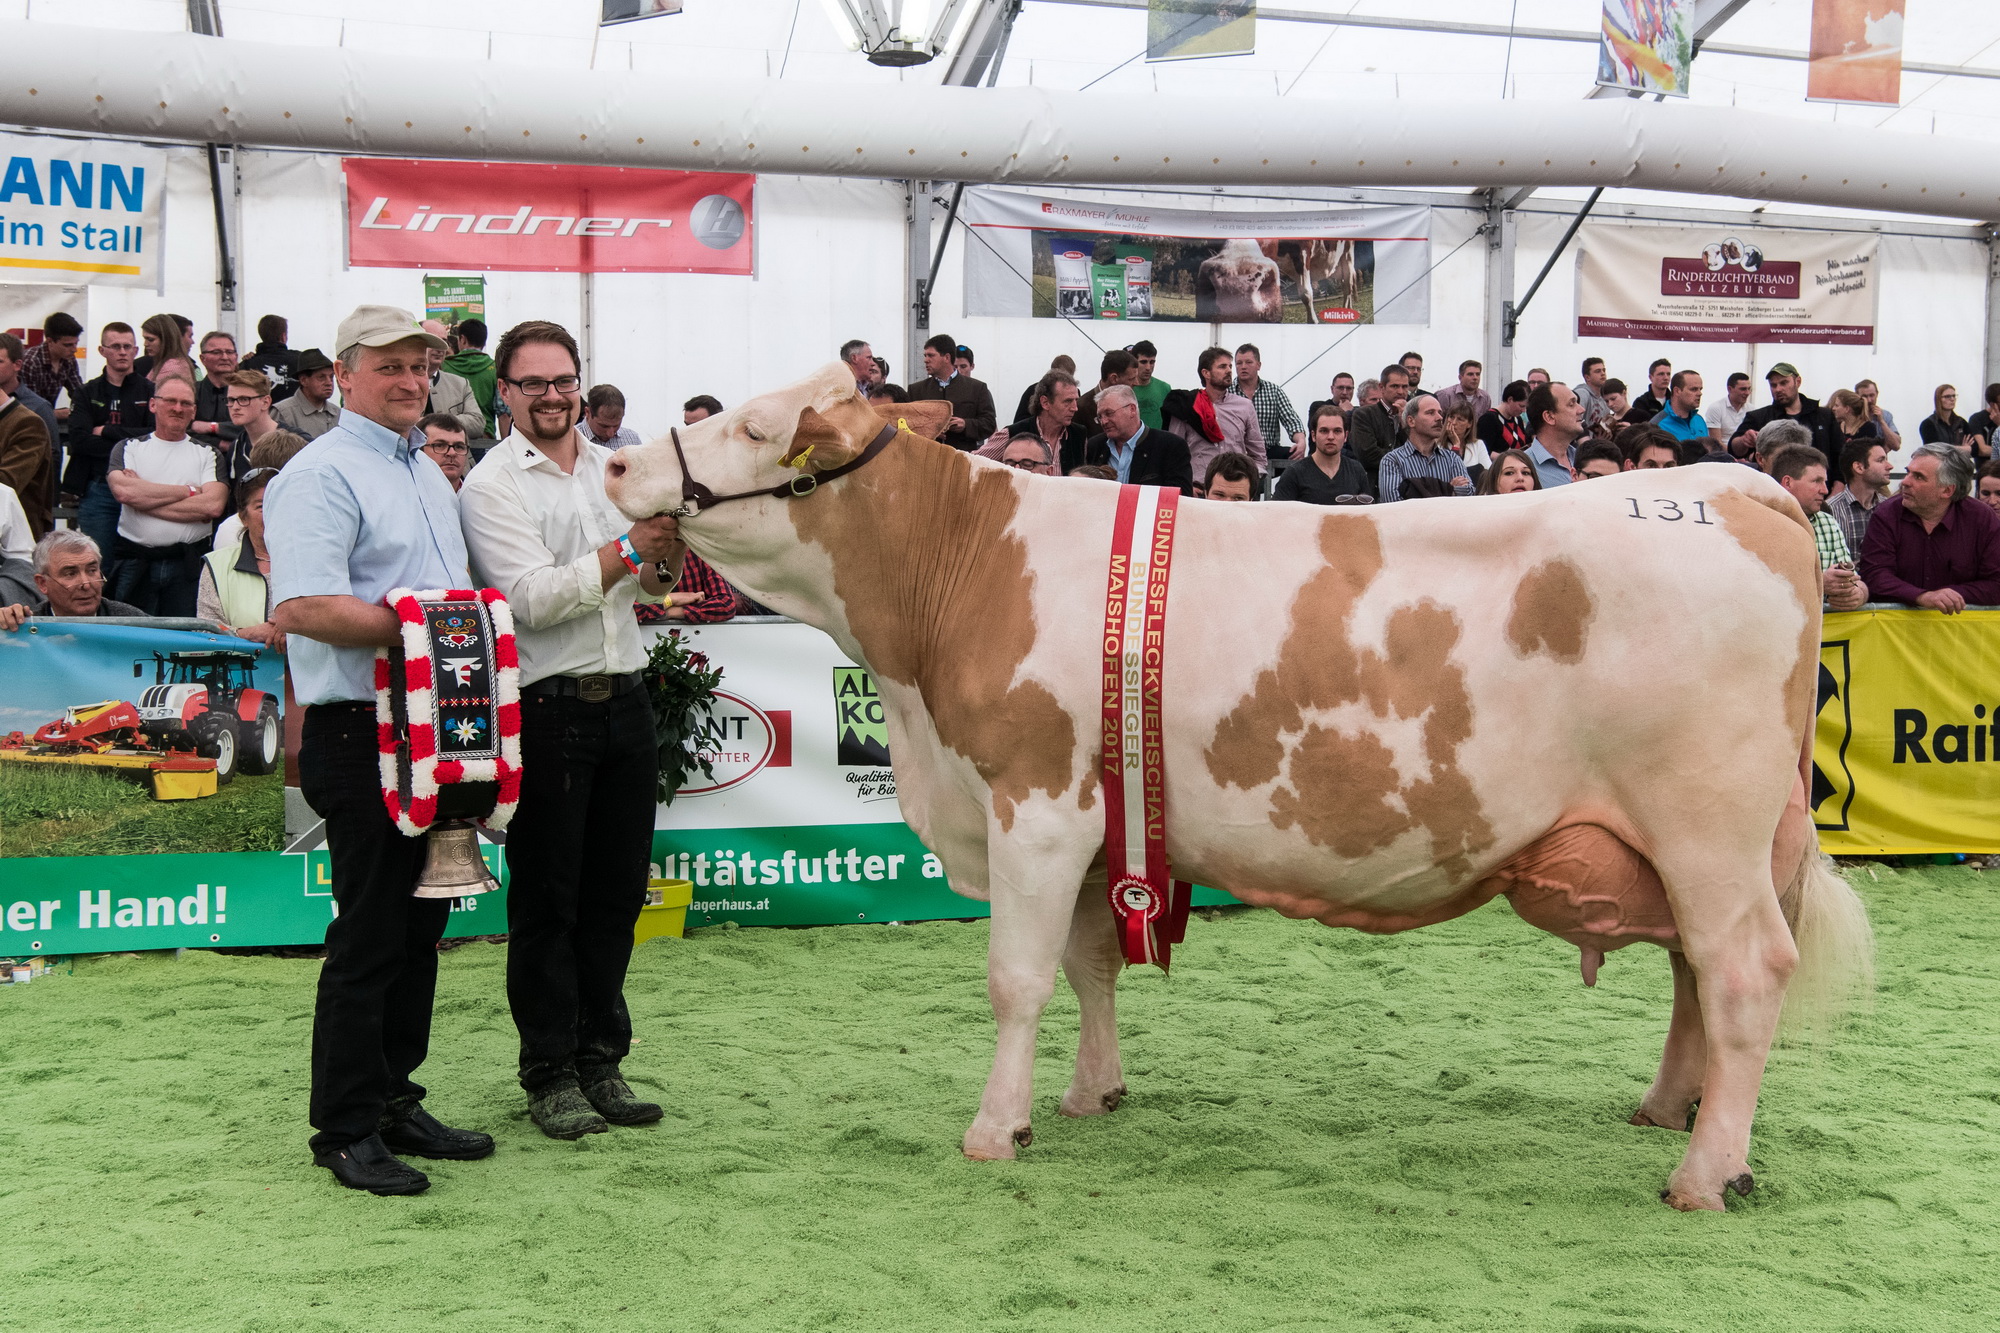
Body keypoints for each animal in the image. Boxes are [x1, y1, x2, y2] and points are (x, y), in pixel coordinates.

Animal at [608, 360, 1872, 1200]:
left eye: (755, 426)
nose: (616, 461)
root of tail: (1736, 487)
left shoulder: (1033, 800)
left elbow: (1016, 979)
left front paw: (992, 1128)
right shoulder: (1095, 820)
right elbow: (1088, 966)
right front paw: (1089, 1095)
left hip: (1704, 824)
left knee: (1741, 972)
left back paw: (1705, 1172)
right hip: (1691, 840)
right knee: (1693, 975)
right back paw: (1668, 1110)